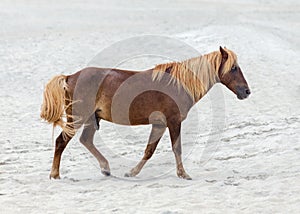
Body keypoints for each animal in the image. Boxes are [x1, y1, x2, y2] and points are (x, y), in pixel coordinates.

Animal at [40, 47, 251, 181]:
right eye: (233, 68)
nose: (246, 91)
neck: (178, 83)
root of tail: (70, 77)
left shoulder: (159, 124)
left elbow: (149, 150)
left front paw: (132, 172)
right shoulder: (173, 122)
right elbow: (177, 148)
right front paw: (183, 174)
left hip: (92, 119)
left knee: (86, 140)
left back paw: (105, 168)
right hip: (77, 119)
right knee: (61, 142)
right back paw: (55, 174)